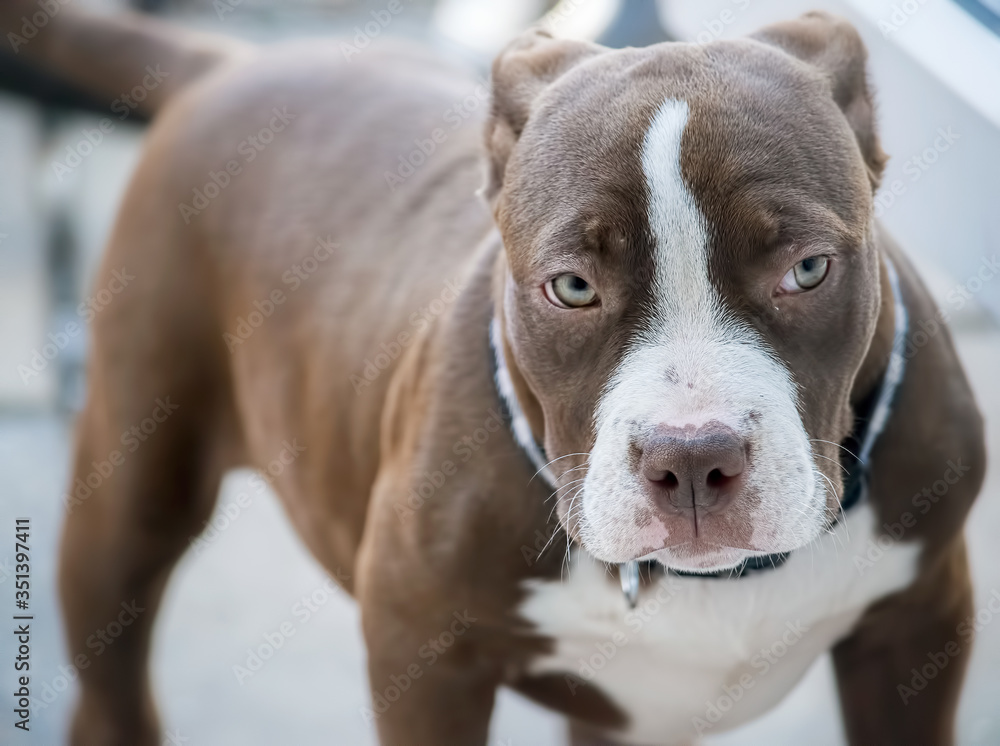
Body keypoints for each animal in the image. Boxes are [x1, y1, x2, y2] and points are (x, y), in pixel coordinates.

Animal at [11, 5, 988, 744]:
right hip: (129, 489)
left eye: (808, 270)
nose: (692, 458)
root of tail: (230, 63)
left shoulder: (918, 624)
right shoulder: (422, 657)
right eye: (572, 286)